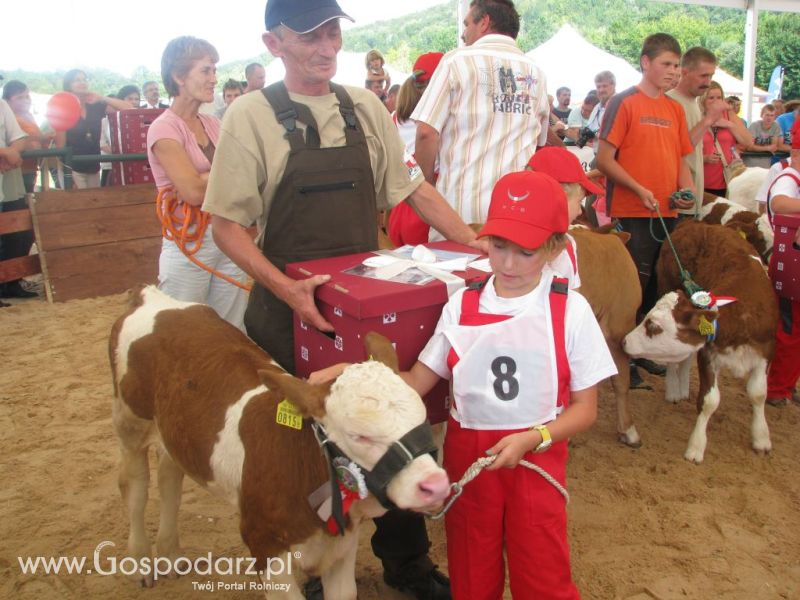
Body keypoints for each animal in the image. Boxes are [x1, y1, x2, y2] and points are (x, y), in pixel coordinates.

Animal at [108, 286, 450, 596]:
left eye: (422, 415)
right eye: (359, 435)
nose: (435, 485)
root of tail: (151, 296)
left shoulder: (342, 547)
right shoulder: (263, 545)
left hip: (172, 429)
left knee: (170, 478)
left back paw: (170, 555)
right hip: (130, 422)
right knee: (135, 487)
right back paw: (140, 563)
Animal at [624, 223, 776, 462]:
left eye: (654, 326)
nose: (625, 341)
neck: (745, 313)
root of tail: (691, 224)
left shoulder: (766, 351)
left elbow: (758, 393)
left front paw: (761, 438)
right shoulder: (708, 354)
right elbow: (709, 400)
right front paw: (696, 447)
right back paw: (673, 390)